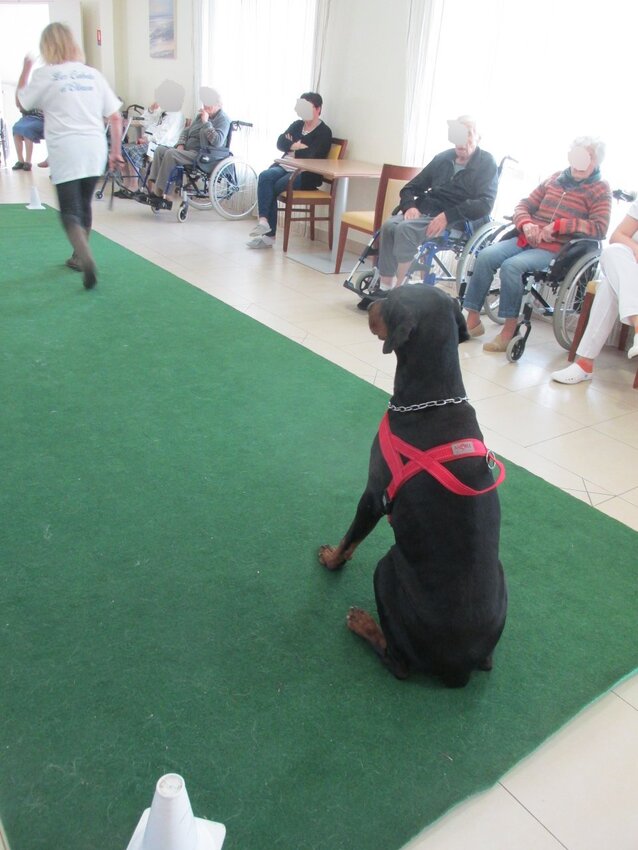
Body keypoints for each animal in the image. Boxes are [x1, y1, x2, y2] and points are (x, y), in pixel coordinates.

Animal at [320, 282, 510, 684]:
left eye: (392, 300)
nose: (370, 303)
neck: (433, 400)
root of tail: (460, 667)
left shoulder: (374, 493)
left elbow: (351, 538)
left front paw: (331, 560)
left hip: (388, 566)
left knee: (400, 665)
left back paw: (363, 623)